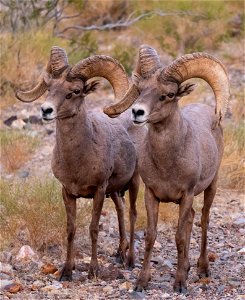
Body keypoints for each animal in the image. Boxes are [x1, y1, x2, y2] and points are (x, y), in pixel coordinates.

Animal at [15, 46, 144, 282]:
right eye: (49, 88)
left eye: (74, 91)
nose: (46, 110)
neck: (77, 160)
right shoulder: (68, 192)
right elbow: (71, 229)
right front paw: (67, 271)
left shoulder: (99, 191)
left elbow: (93, 229)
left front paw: (93, 271)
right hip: (115, 191)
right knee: (120, 211)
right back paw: (119, 253)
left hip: (134, 183)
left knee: (132, 214)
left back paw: (130, 260)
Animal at [104, 44, 230, 292]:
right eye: (141, 90)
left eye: (169, 94)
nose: (137, 112)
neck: (167, 164)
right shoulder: (152, 195)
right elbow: (151, 236)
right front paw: (141, 282)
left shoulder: (187, 194)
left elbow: (180, 237)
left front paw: (180, 284)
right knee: (192, 219)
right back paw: (189, 267)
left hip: (211, 186)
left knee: (203, 219)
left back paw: (202, 269)